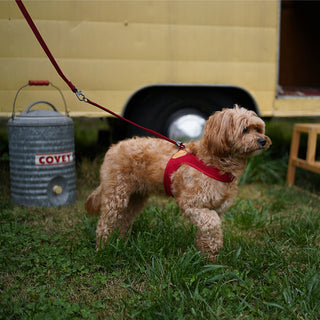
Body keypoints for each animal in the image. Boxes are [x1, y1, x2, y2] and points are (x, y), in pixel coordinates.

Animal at [84, 106, 270, 262]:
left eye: (258, 128)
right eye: (245, 130)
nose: (263, 141)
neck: (214, 162)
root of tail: (113, 147)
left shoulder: (216, 208)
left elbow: (208, 233)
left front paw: (208, 259)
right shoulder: (192, 204)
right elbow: (213, 224)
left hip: (135, 198)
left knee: (123, 221)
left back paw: (121, 243)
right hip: (116, 195)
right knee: (105, 223)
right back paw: (102, 249)